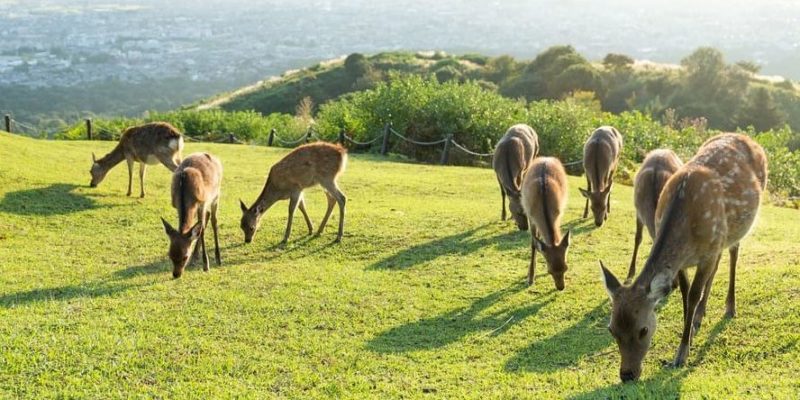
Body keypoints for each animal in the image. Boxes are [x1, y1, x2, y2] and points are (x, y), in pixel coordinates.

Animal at [160, 152, 222, 280]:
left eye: (185, 256)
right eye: (170, 255)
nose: (176, 274)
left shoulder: (202, 202)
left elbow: (201, 230)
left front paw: (205, 265)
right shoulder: (177, 206)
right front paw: (196, 258)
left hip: (216, 195)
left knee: (214, 220)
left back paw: (218, 258)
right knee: (207, 216)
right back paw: (196, 256)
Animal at [520, 156, 572, 290]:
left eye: (566, 268)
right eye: (550, 271)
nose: (561, 287)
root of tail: (546, 158)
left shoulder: (559, 213)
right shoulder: (530, 216)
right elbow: (533, 244)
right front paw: (530, 277)